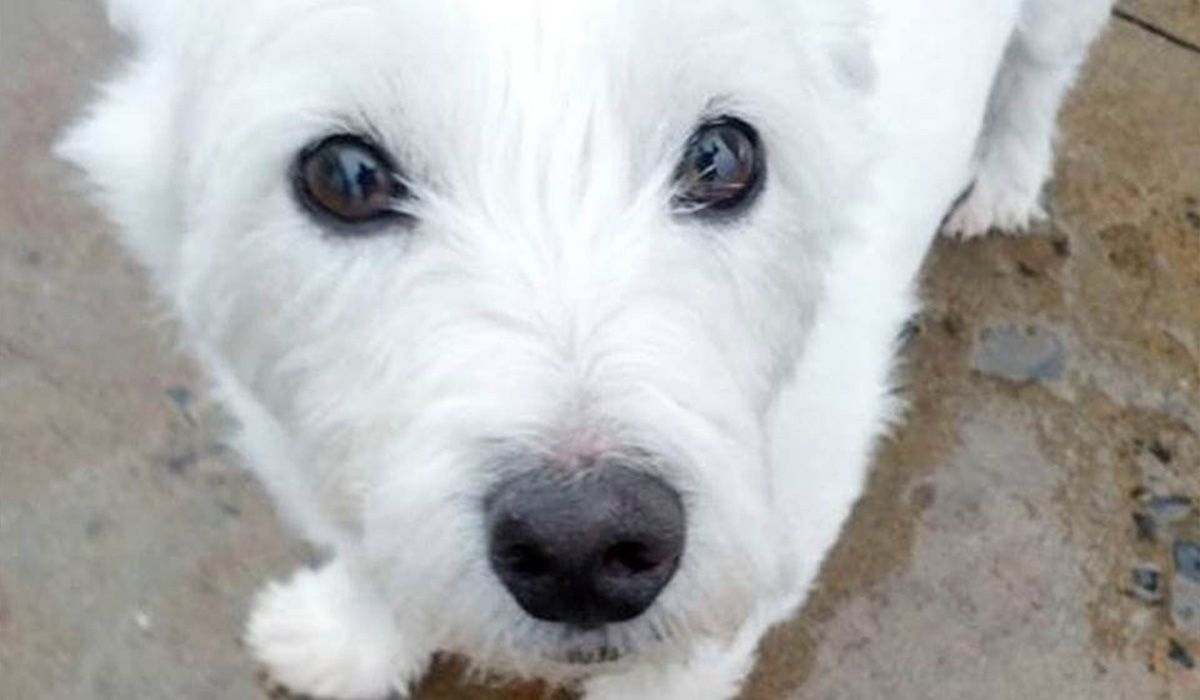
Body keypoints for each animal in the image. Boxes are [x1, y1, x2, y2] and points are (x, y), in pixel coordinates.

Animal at [63, 2, 1113, 696]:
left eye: (722, 157)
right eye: (346, 175)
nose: (584, 545)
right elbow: (366, 558)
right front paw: (346, 645)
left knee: (1039, 75)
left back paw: (1005, 178)